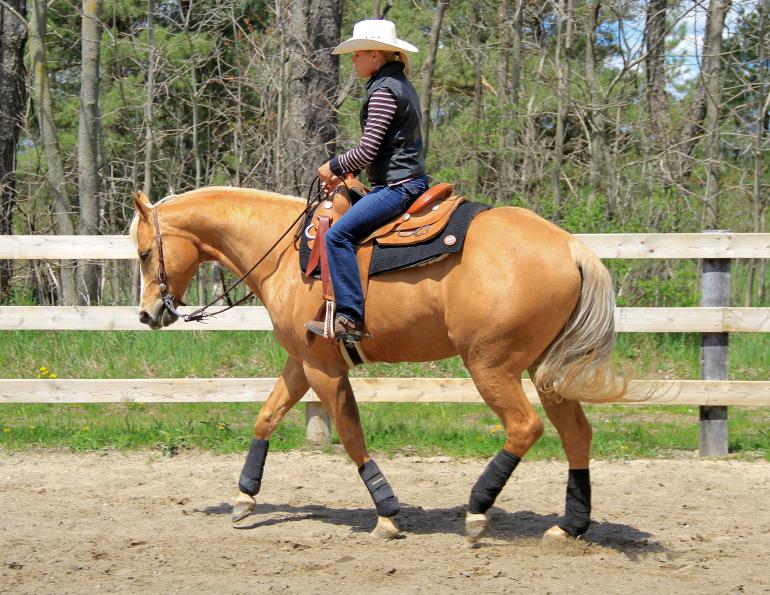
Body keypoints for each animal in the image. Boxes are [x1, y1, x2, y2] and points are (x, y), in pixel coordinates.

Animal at [130, 184, 626, 542]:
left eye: (143, 253)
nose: (148, 314)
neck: (286, 256)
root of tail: (570, 248)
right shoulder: (301, 361)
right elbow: (266, 417)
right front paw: (244, 497)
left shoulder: (325, 369)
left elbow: (351, 435)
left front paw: (387, 513)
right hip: (547, 370)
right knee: (576, 433)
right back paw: (569, 525)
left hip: (491, 366)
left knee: (526, 427)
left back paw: (478, 509)